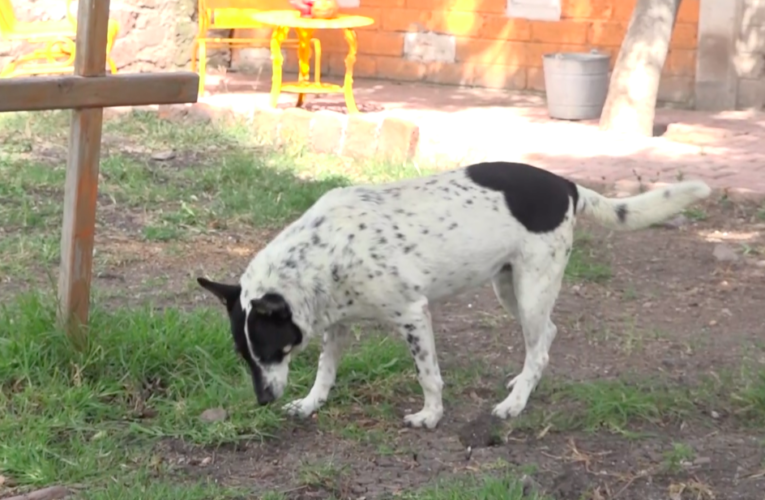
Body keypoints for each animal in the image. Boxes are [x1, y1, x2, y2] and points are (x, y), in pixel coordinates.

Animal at [198, 161, 712, 430]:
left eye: (274, 351)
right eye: (245, 357)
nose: (261, 401)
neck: (323, 252)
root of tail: (566, 184)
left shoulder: (412, 314)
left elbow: (428, 375)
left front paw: (431, 415)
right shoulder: (337, 325)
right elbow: (325, 374)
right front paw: (310, 405)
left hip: (530, 290)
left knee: (541, 345)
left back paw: (515, 404)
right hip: (509, 287)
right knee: (546, 336)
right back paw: (521, 384)